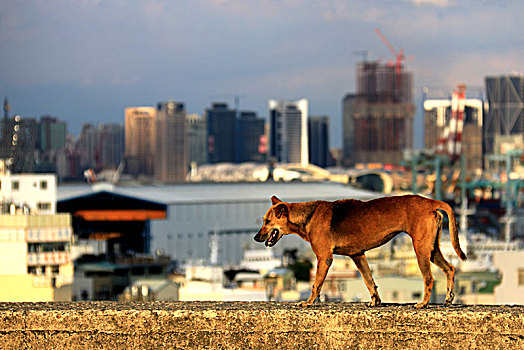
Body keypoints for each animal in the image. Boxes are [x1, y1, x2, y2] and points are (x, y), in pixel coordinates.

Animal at [254, 196, 466, 308]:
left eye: (267, 221)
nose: (256, 237)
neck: (309, 216)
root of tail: (430, 202)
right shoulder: (358, 255)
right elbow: (369, 280)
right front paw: (375, 301)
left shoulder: (324, 258)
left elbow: (316, 285)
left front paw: (308, 302)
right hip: (432, 248)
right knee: (450, 268)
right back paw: (448, 297)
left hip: (421, 249)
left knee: (429, 278)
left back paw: (423, 304)